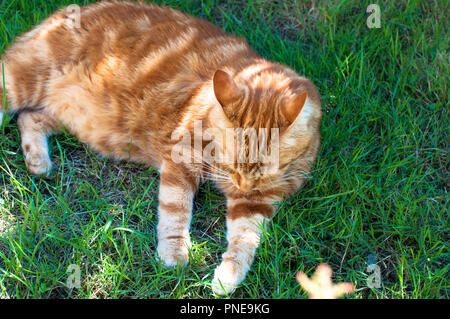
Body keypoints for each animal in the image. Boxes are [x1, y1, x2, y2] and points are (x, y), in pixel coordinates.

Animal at [0, 0, 324, 296]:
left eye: (262, 172)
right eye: (231, 163)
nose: (241, 186)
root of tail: (60, 15)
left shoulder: (257, 202)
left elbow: (245, 241)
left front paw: (226, 278)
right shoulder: (181, 159)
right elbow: (175, 211)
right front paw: (174, 254)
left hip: (67, 116)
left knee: (29, 118)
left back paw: (38, 161)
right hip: (19, 84)